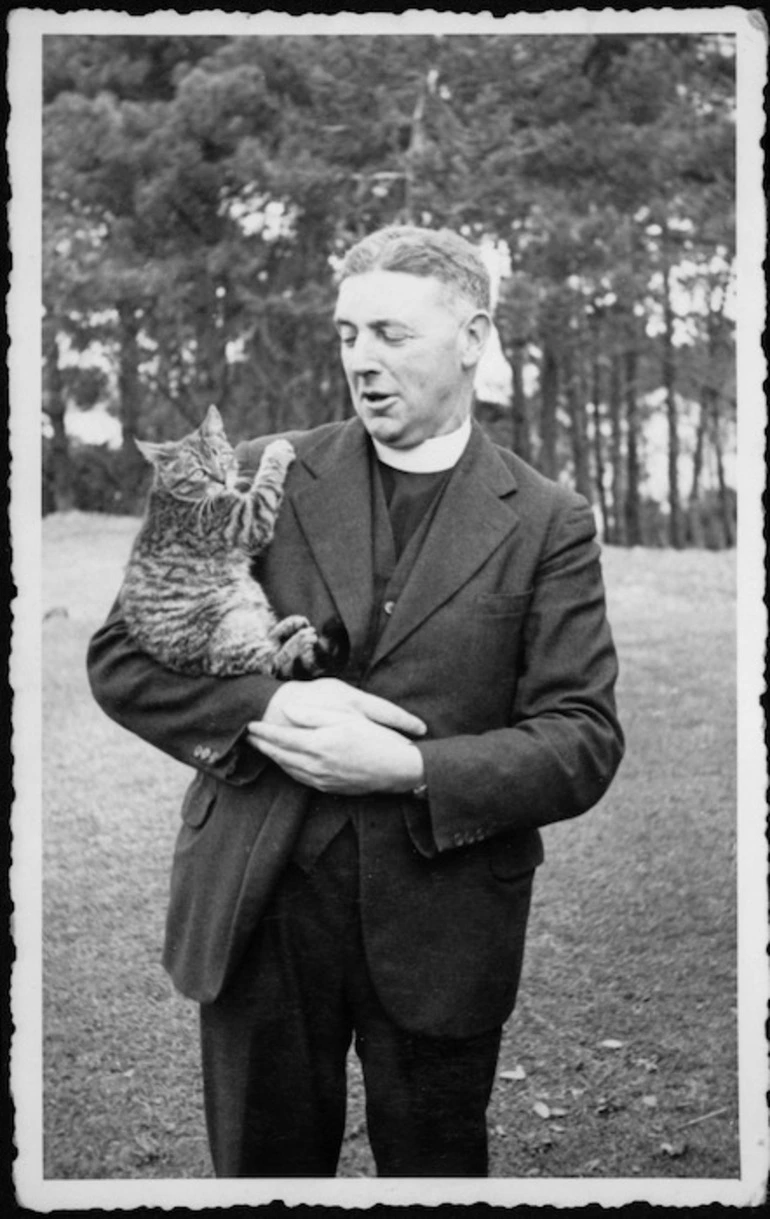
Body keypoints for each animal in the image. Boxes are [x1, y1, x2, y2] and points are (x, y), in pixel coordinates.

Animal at [118, 407, 338, 677]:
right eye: (199, 472)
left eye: (221, 457)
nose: (222, 479)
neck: (174, 497)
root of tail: (197, 666)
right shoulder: (250, 519)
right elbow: (267, 480)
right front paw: (275, 451)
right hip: (230, 626)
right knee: (271, 662)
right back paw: (295, 642)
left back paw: (286, 627)